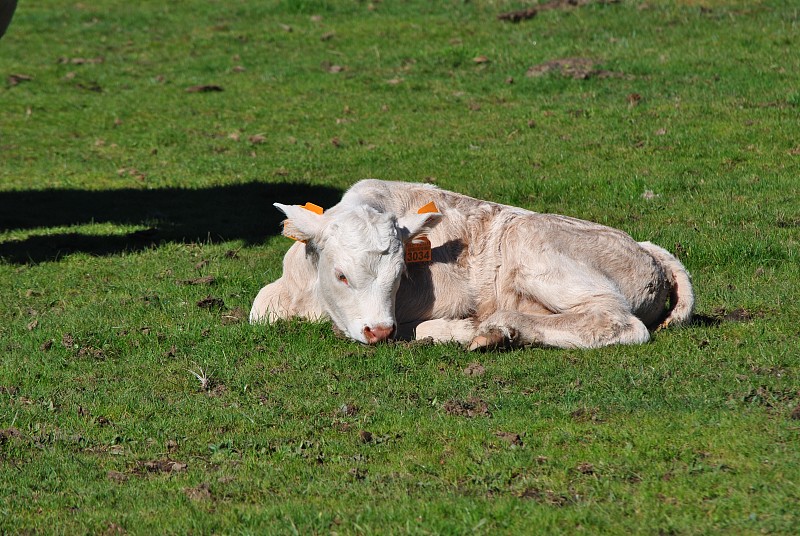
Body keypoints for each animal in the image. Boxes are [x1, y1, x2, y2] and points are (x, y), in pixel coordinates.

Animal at [252, 178, 692, 350]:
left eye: (399, 276)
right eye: (341, 275)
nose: (379, 331)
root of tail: (646, 248)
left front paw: (460, 328)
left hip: (531, 242)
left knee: (615, 320)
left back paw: (494, 329)